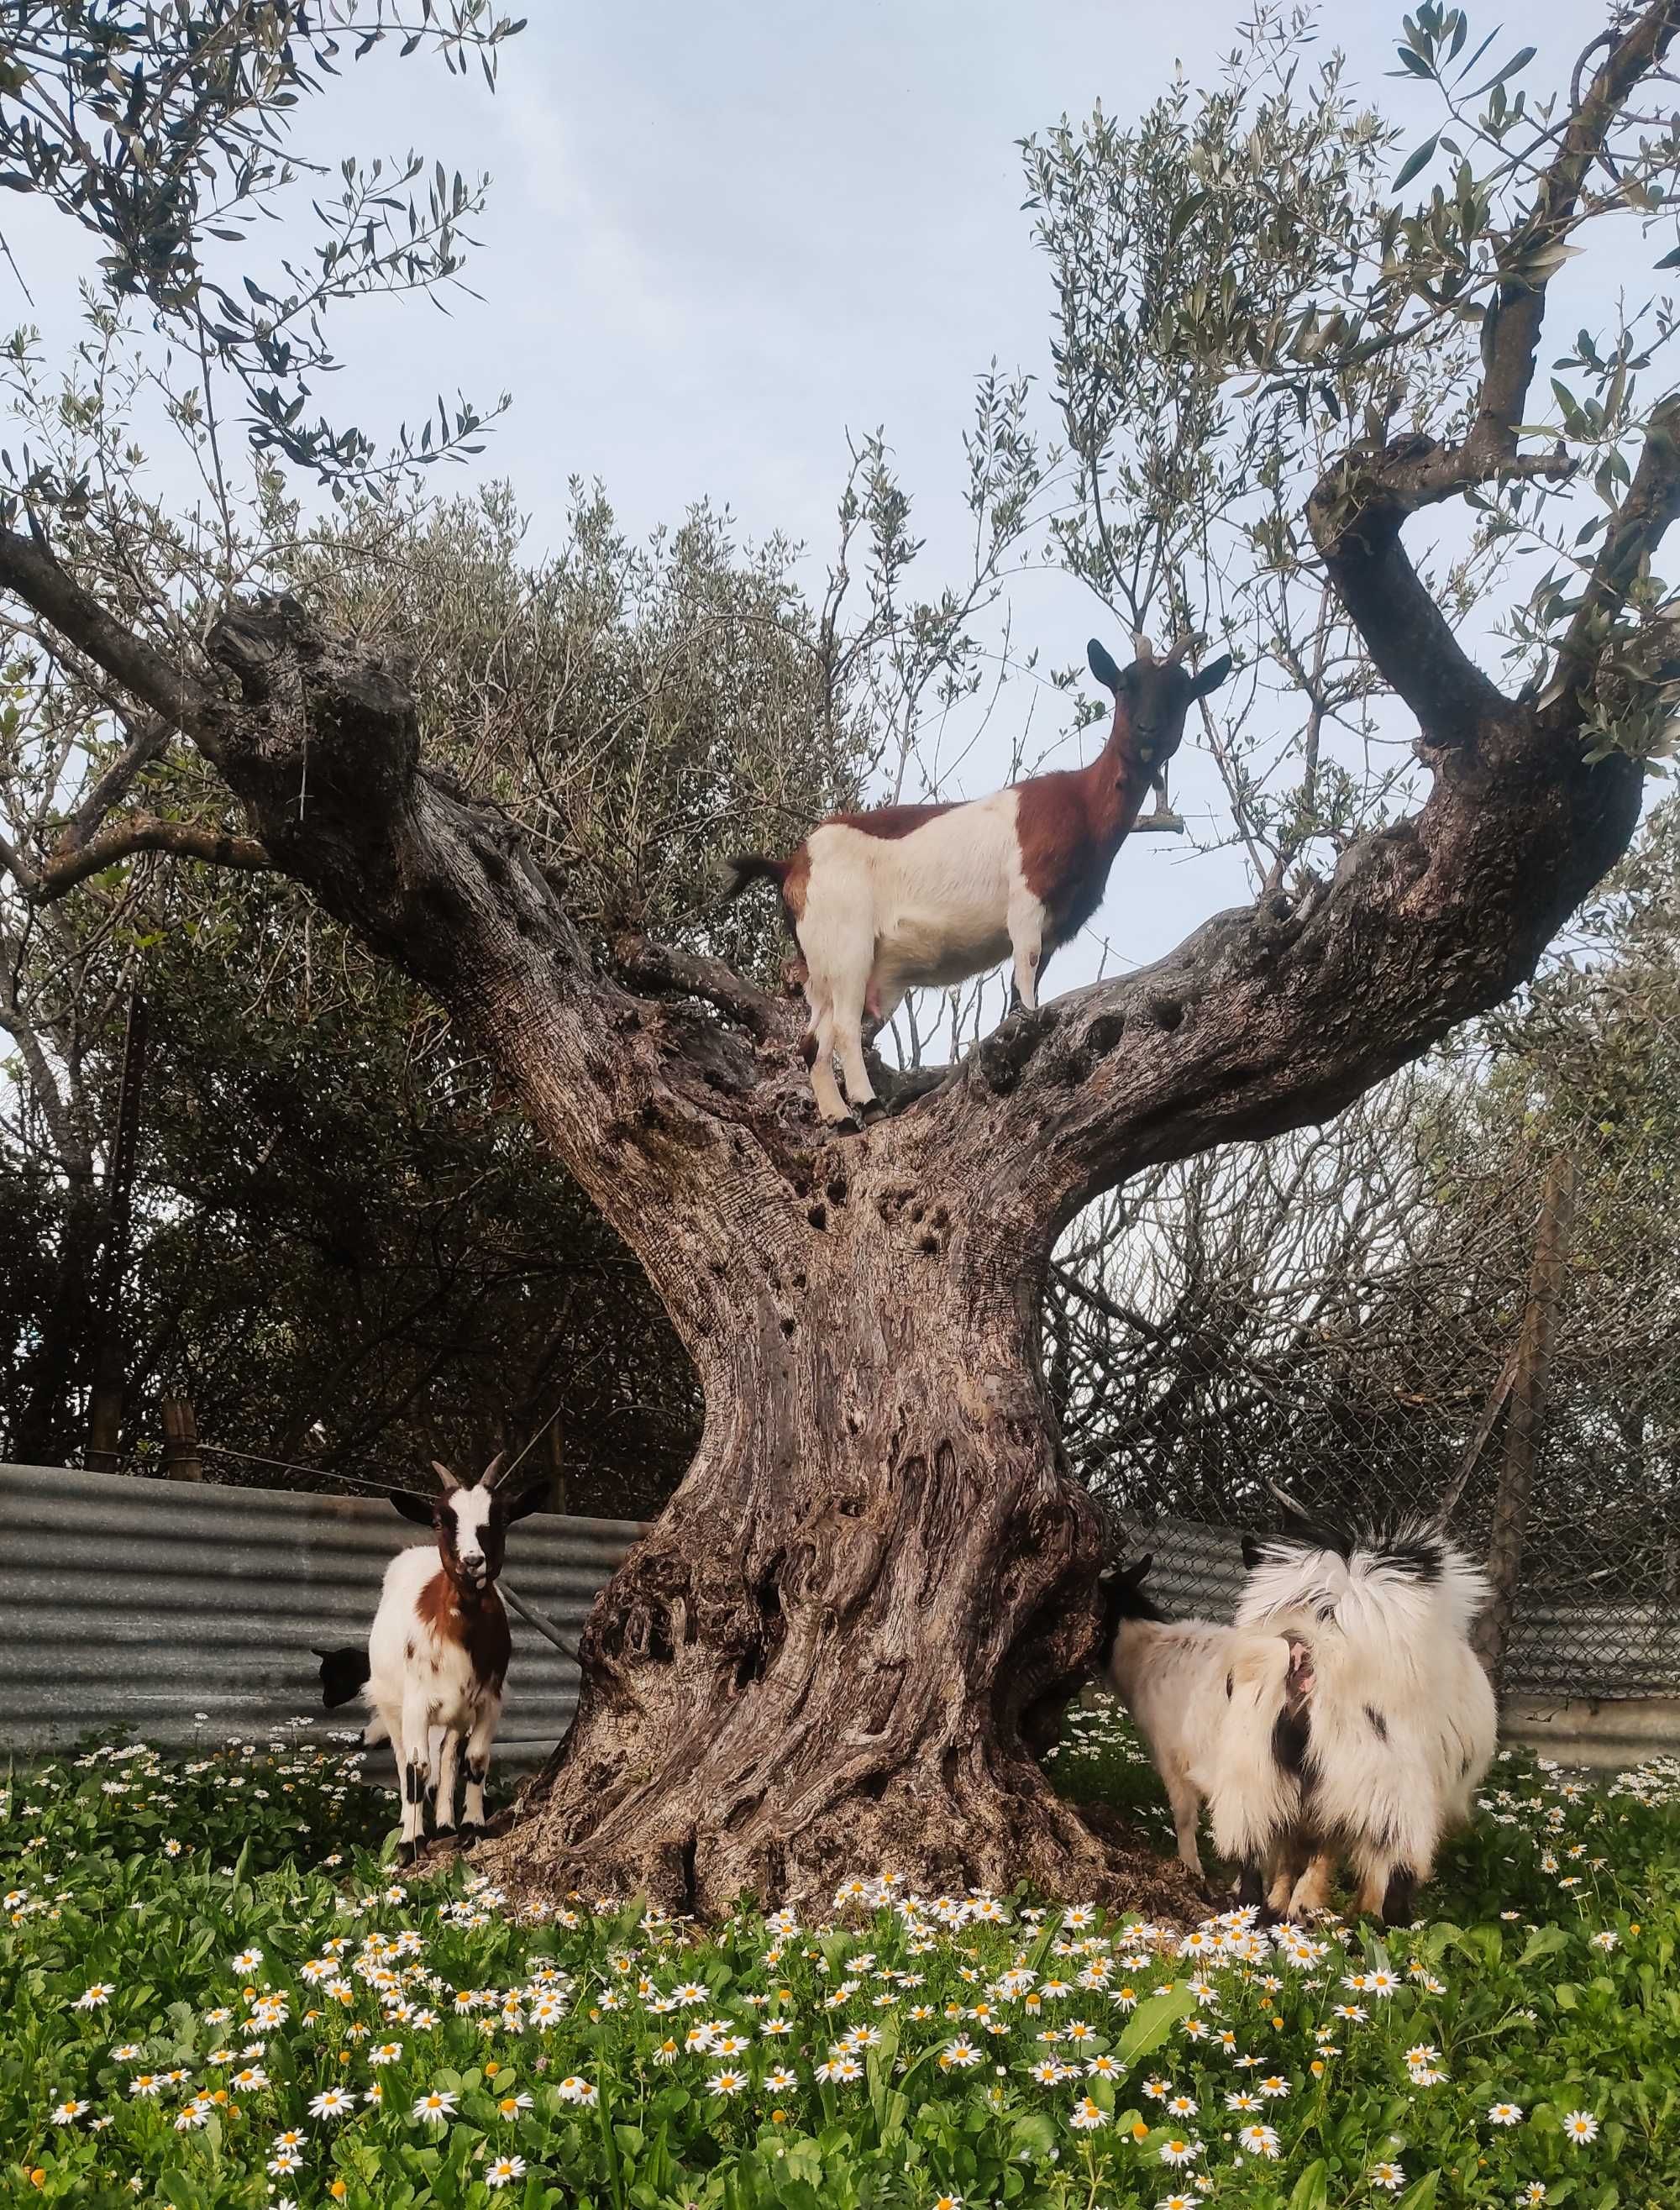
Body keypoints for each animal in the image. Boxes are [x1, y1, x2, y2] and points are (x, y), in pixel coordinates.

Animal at [313, 1449, 543, 1865]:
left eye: (501, 1518)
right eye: (440, 1520)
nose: (473, 1561)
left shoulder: (489, 1700)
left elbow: (475, 1760)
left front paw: (472, 1827)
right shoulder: (417, 1704)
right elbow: (415, 1769)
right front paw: (411, 1843)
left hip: (455, 1715)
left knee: (449, 1757)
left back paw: (446, 1823)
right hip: (392, 1705)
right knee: (406, 1759)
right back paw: (411, 1824)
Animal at [725, 636, 1237, 1122]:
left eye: (1182, 692)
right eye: (1125, 685)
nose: (1149, 730)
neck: (1083, 805)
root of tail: (793, 865)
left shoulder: (1058, 924)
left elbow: (1020, 994)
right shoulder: (1028, 899)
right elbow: (1026, 979)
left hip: (820, 959)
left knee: (813, 1039)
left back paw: (838, 1119)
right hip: (846, 940)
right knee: (846, 1028)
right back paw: (867, 1107)